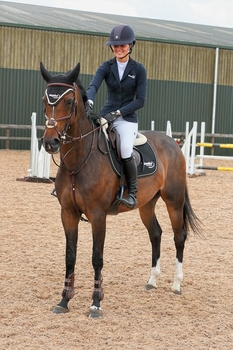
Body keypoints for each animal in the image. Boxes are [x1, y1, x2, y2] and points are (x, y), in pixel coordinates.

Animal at [39, 62, 200, 318]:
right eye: (45, 100)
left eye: (69, 101)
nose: (50, 142)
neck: (79, 160)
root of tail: (172, 143)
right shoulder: (68, 214)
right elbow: (70, 256)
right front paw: (64, 300)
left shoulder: (98, 215)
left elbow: (97, 258)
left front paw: (96, 304)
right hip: (146, 205)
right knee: (156, 234)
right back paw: (152, 281)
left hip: (173, 201)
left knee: (179, 236)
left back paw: (176, 284)